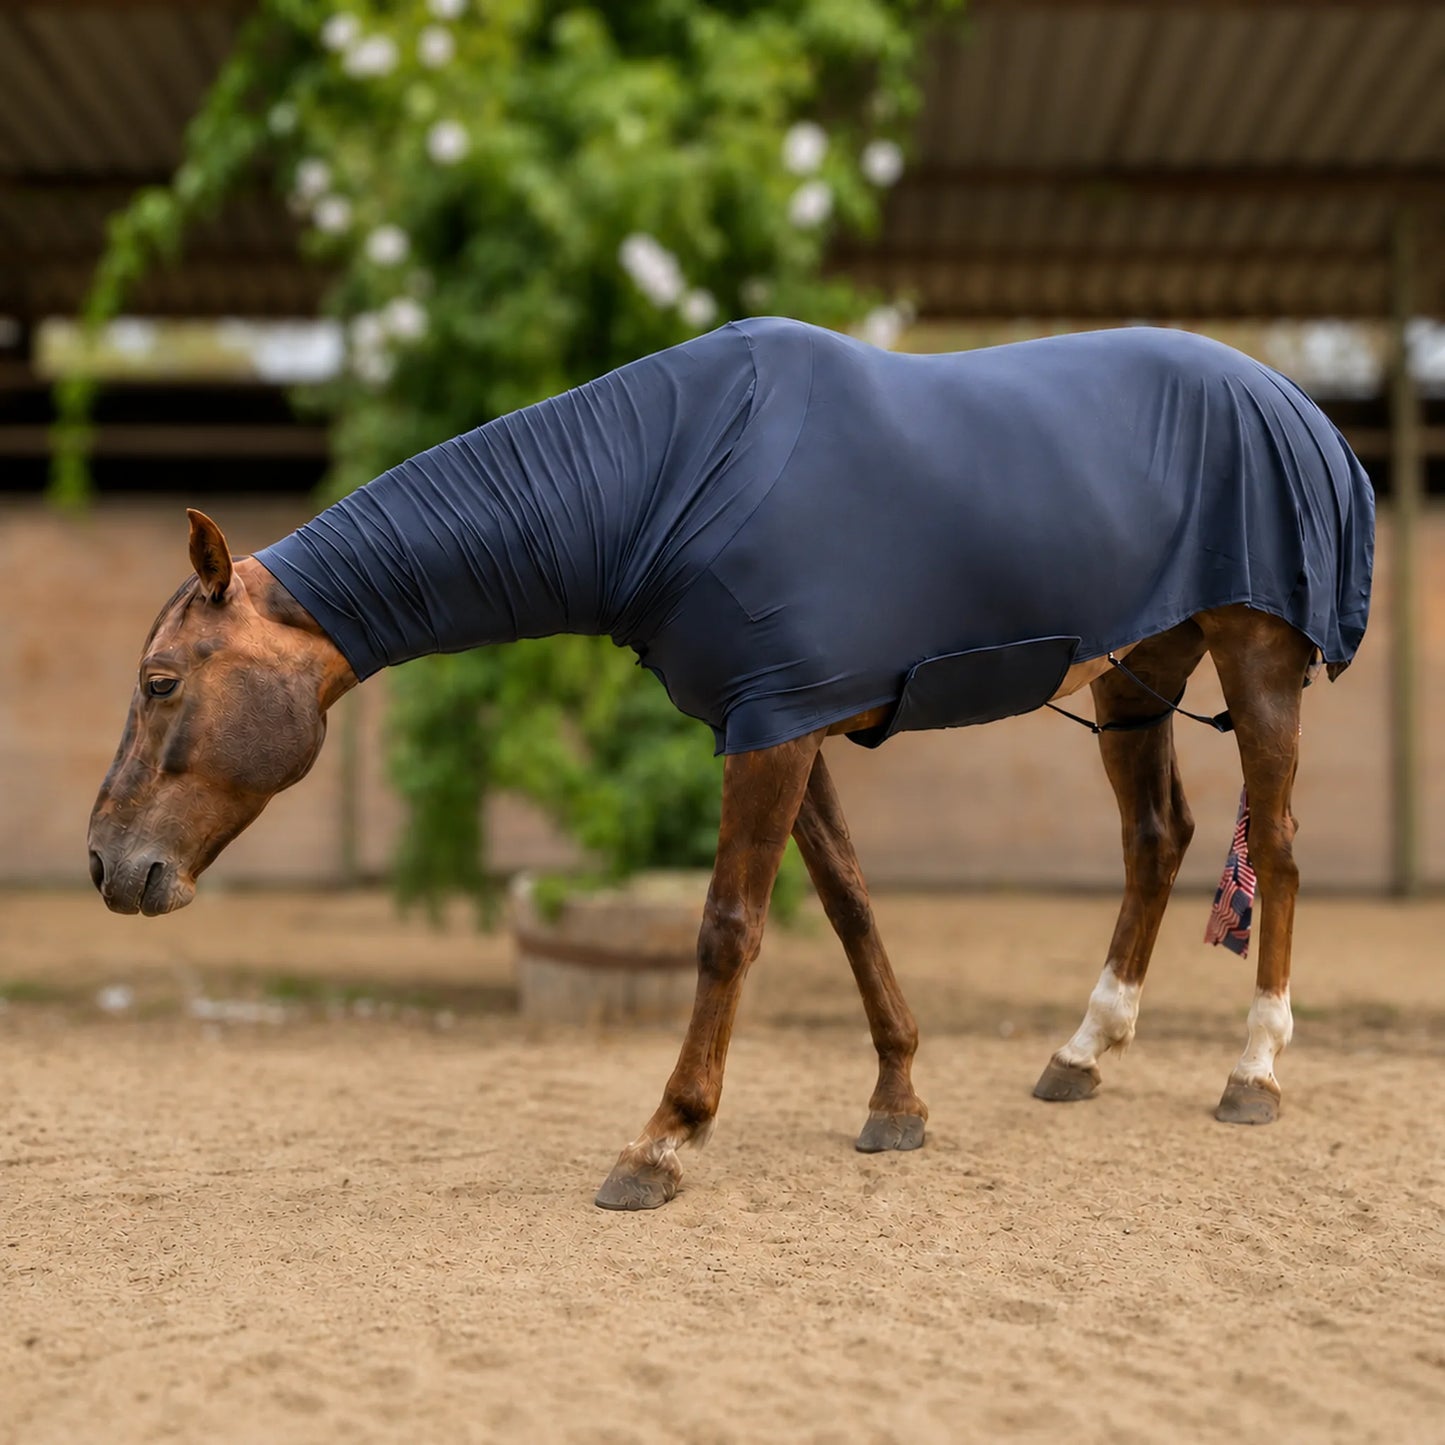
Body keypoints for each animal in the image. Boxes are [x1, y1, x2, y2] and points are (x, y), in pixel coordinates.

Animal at [88, 318, 1374, 1211]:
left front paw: (662, 1137)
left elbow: (726, 929)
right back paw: (1079, 1052)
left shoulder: (772, 732)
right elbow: (849, 905)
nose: (108, 863)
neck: (676, 474)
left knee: (1275, 845)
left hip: (1255, 658)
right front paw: (896, 1098)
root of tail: (1288, 403)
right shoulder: (786, 725)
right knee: (1153, 839)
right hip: (1134, 672)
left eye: (159, 682)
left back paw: (1252, 1071)